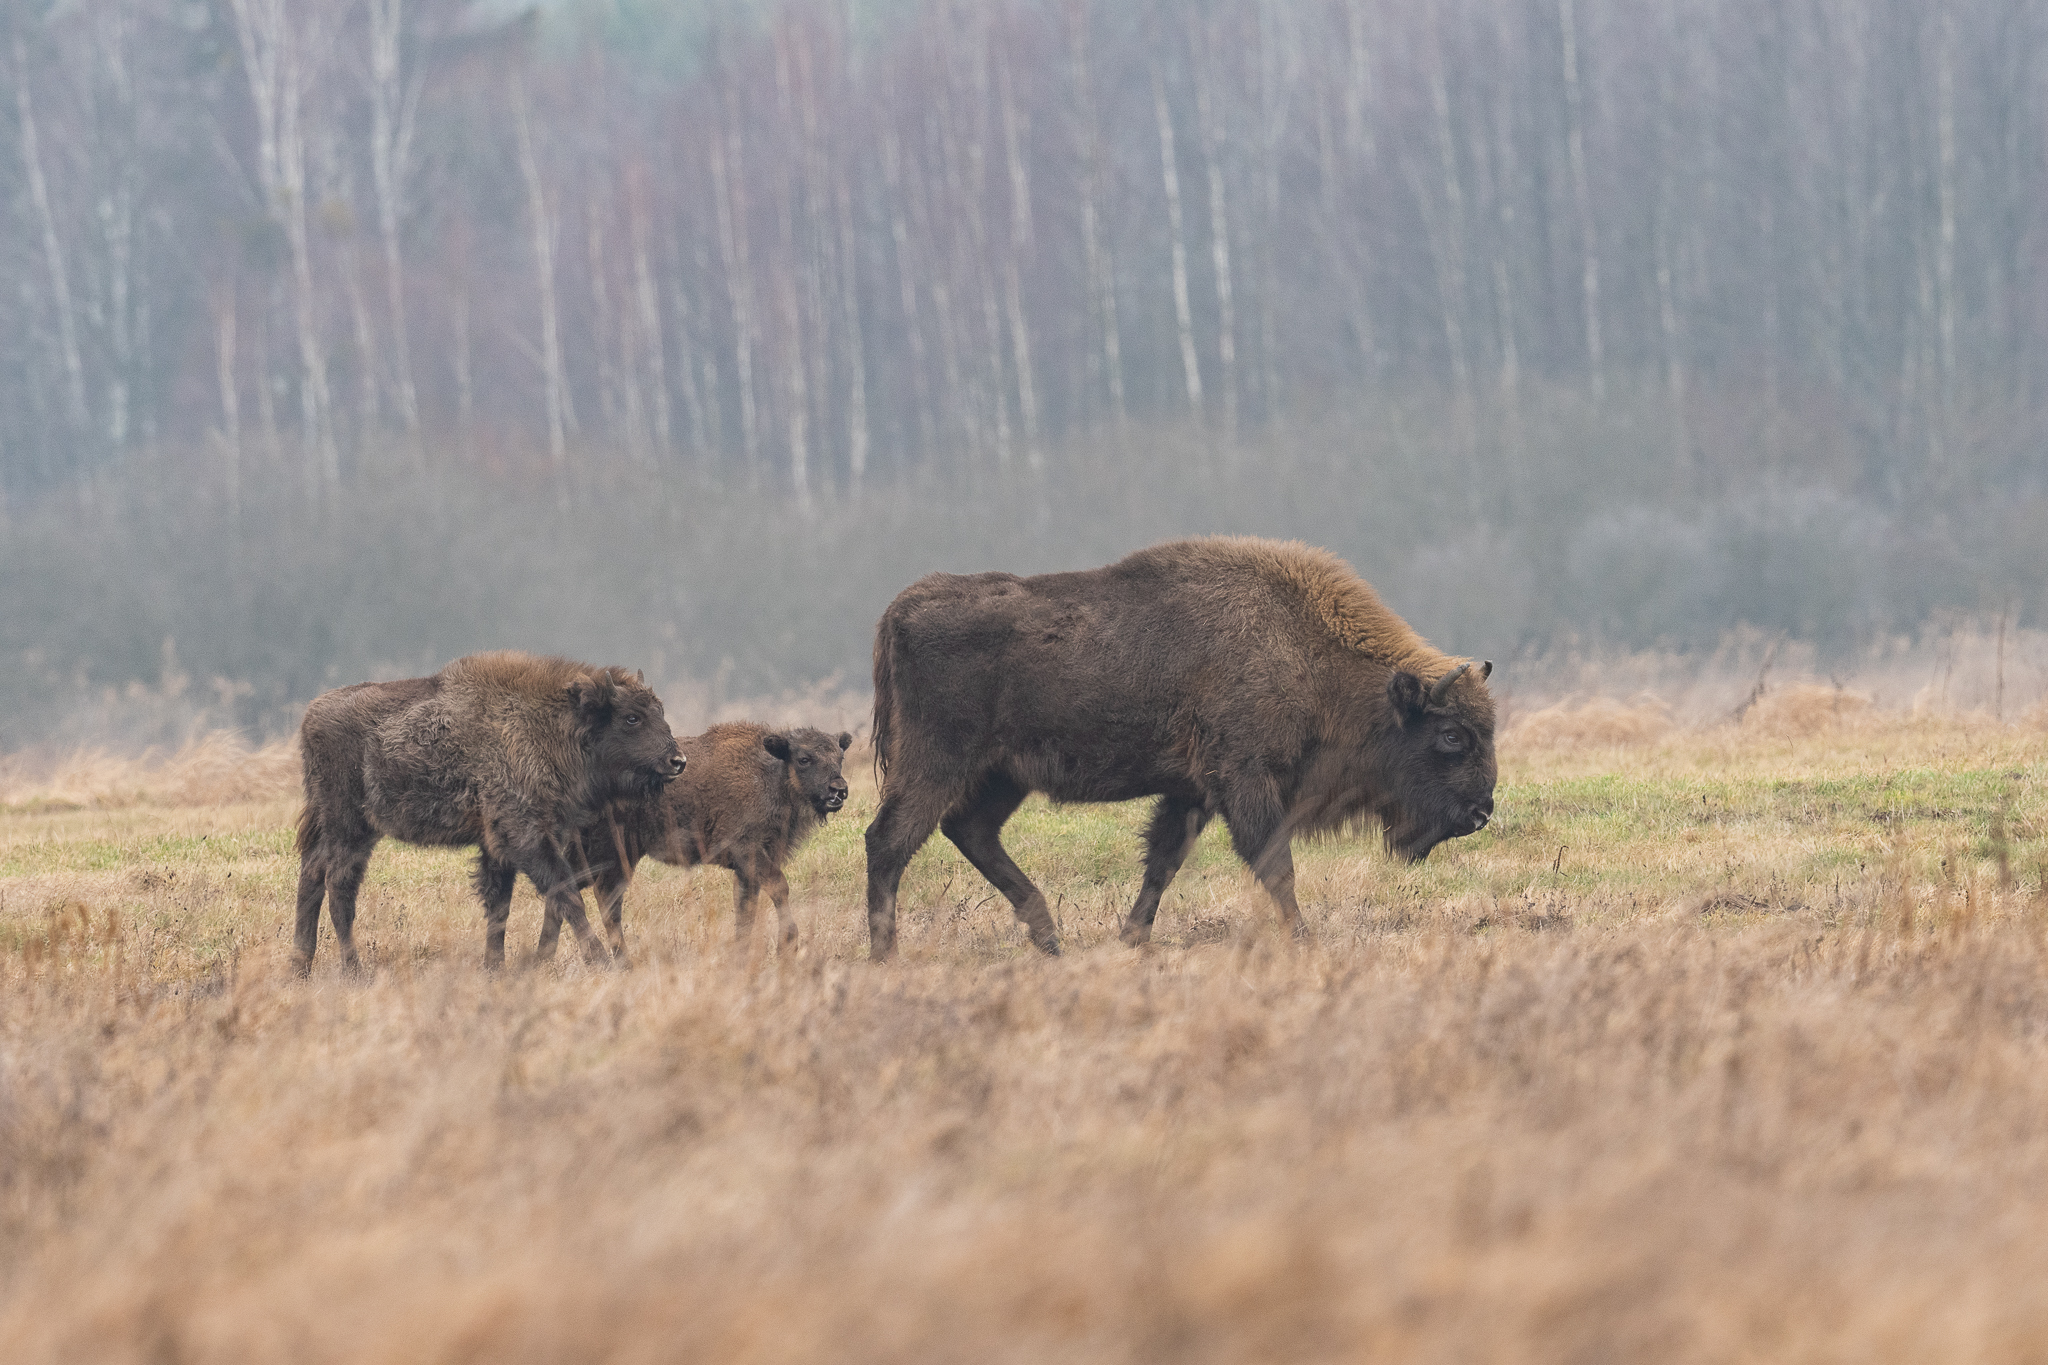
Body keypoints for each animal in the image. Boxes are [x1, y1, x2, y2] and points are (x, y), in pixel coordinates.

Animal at [294, 651, 684, 972]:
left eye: (660, 712)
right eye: (632, 718)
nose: (677, 760)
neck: (549, 725)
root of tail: (310, 716)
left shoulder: (502, 845)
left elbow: (500, 906)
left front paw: (495, 967)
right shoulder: (523, 834)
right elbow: (566, 895)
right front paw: (602, 963)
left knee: (312, 875)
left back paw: (299, 969)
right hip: (349, 825)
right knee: (339, 888)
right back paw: (354, 971)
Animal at [863, 536, 1495, 958]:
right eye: (1451, 735)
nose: (1481, 812)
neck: (1302, 650)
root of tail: (900, 609)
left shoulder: (1193, 792)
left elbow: (1163, 863)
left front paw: (1132, 939)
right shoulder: (1245, 780)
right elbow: (1275, 865)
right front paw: (1304, 940)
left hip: (1002, 776)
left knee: (969, 831)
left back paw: (1050, 940)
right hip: (937, 762)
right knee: (889, 840)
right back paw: (885, 955)